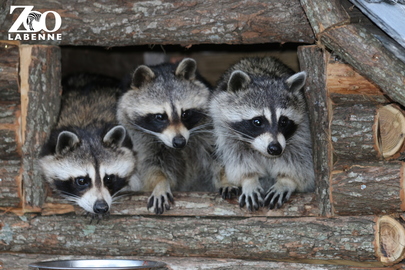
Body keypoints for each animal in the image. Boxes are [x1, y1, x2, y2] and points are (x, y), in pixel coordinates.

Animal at [117, 58, 218, 214]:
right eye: (160, 117)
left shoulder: (207, 130)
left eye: (185, 114)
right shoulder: (140, 140)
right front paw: (160, 183)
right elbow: (151, 166)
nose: (179, 142)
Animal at [210, 57, 314, 211]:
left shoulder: (302, 131)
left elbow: (299, 160)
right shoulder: (223, 129)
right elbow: (237, 159)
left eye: (284, 121)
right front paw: (249, 180)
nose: (275, 149)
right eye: (257, 121)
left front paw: (286, 181)